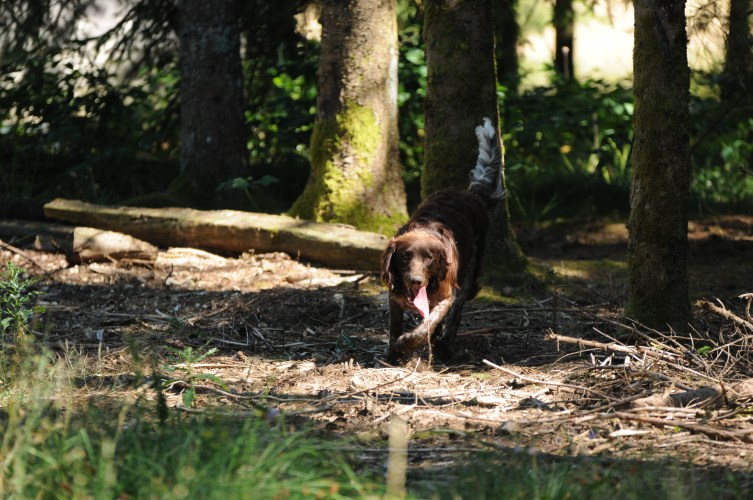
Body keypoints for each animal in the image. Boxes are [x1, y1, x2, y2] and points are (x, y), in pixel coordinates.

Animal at [381, 117, 505, 362]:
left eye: (429, 258)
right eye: (404, 257)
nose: (415, 281)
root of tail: (472, 194)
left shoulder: (446, 294)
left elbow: (428, 323)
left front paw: (407, 343)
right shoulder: (394, 294)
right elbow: (395, 326)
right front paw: (393, 353)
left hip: (469, 272)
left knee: (457, 311)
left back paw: (445, 346)